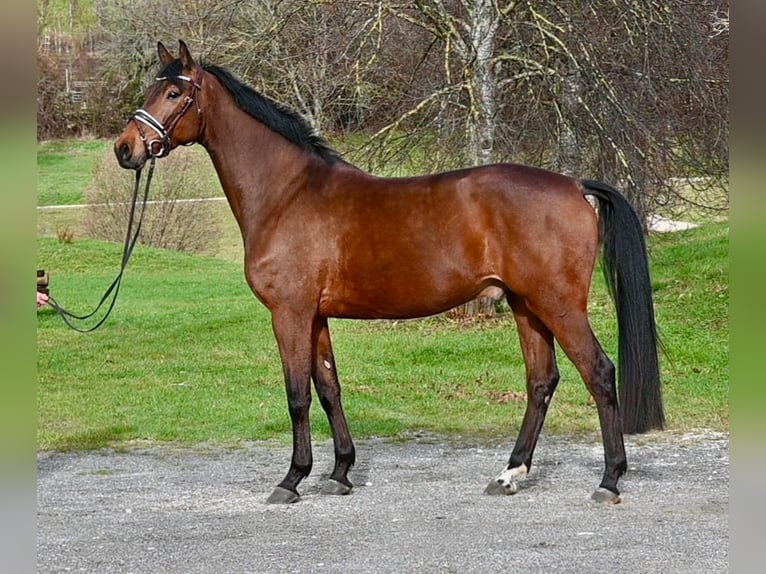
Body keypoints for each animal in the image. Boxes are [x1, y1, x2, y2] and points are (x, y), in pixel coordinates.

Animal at [115, 41, 664, 508]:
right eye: (150, 90)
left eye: (173, 92)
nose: (125, 149)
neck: (287, 194)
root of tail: (575, 186)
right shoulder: (315, 317)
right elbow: (329, 388)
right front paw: (339, 473)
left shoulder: (289, 313)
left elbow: (297, 395)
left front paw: (291, 480)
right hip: (525, 304)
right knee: (541, 381)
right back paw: (510, 474)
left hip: (558, 304)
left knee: (599, 373)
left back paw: (609, 480)